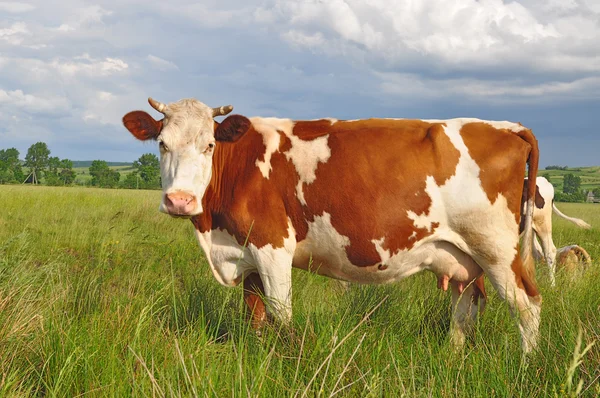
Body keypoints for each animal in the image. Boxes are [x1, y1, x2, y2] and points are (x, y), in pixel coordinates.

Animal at [123, 98, 544, 352]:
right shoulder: (245, 250)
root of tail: (506, 126)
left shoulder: (272, 244)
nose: (180, 200)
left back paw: (526, 364)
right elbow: (254, 314)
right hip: (463, 256)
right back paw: (452, 358)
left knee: (526, 305)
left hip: (497, 249)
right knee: (466, 306)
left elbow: (280, 312)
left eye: (209, 144)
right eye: (161, 143)